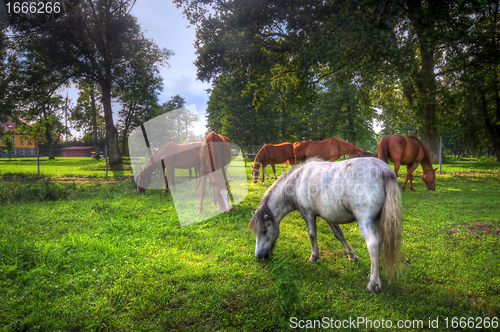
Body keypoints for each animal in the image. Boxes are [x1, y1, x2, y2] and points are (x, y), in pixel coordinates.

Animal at [248, 157, 404, 292]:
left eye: (264, 231)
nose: (259, 256)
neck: (297, 181)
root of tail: (384, 170)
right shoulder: (329, 215)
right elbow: (339, 234)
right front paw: (352, 256)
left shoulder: (308, 213)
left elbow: (312, 235)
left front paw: (314, 257)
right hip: (378, 221)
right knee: (379, 242)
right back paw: (375, 274)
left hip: (364, 222)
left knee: (373, 245)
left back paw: (374, 283)